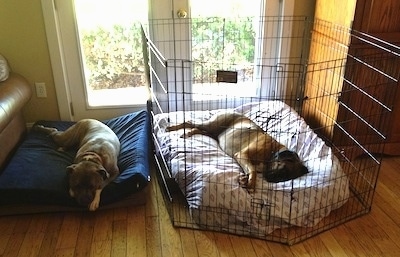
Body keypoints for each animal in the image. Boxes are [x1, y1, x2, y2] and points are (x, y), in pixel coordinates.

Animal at [167, 109, 308, 189]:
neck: (272, 151)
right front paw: (250, 183)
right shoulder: (242, 155)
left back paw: (188, 133)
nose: (273, 180)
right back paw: (172, 128)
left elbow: (250, 170)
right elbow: (253, 171)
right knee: (190, 122)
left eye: (287, 178)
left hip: (213, 132)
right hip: (212, 125)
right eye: (283, 169)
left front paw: (245, 179)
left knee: (198, 129)